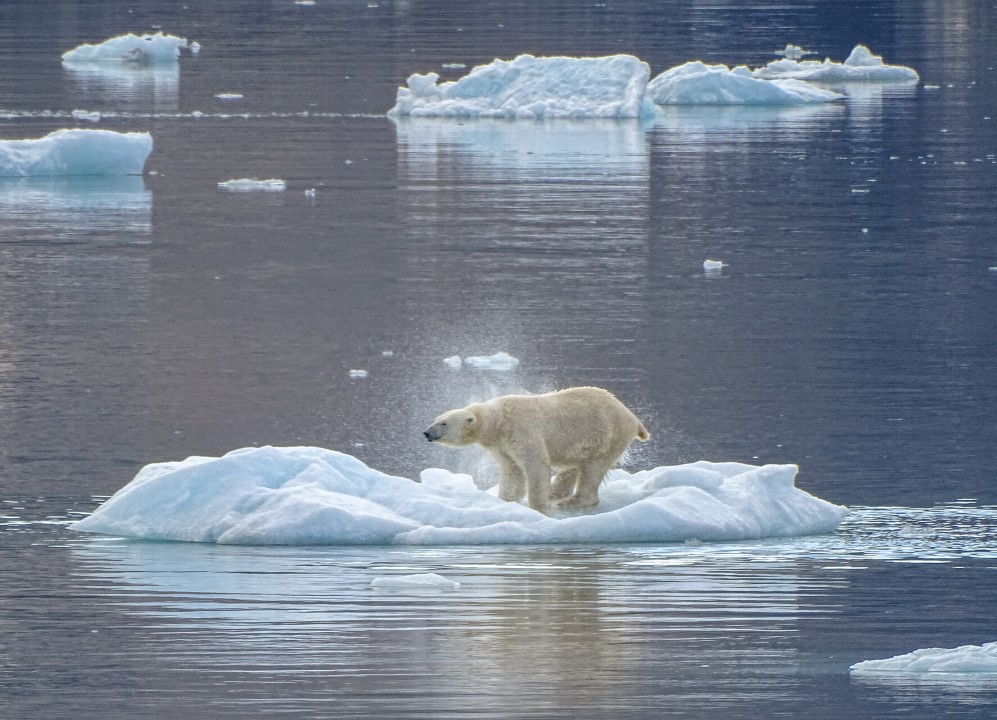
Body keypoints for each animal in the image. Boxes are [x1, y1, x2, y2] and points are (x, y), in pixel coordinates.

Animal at [422, 388, 648, 512]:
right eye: (436, 419)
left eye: (443, 423)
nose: (426, 432)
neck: (498, 421)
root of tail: (633, 417)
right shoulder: (502, 445)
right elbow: (512, 471)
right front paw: (506, 500)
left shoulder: (521, 429)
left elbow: (535, 465)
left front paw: (538, 506)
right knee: (576, 465)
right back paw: (557, 494)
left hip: (607, 435)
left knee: (593, 468)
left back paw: (570, 502)